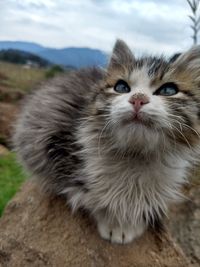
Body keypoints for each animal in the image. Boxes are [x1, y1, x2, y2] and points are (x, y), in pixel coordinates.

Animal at [13, 40, 200, 245]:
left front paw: (132, 223)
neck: (135, 157)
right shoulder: (55, 146)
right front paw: (115, 223)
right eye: (121, 87)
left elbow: (146, 202)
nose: (138, 99)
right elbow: (94, 197)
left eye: (168, 90)